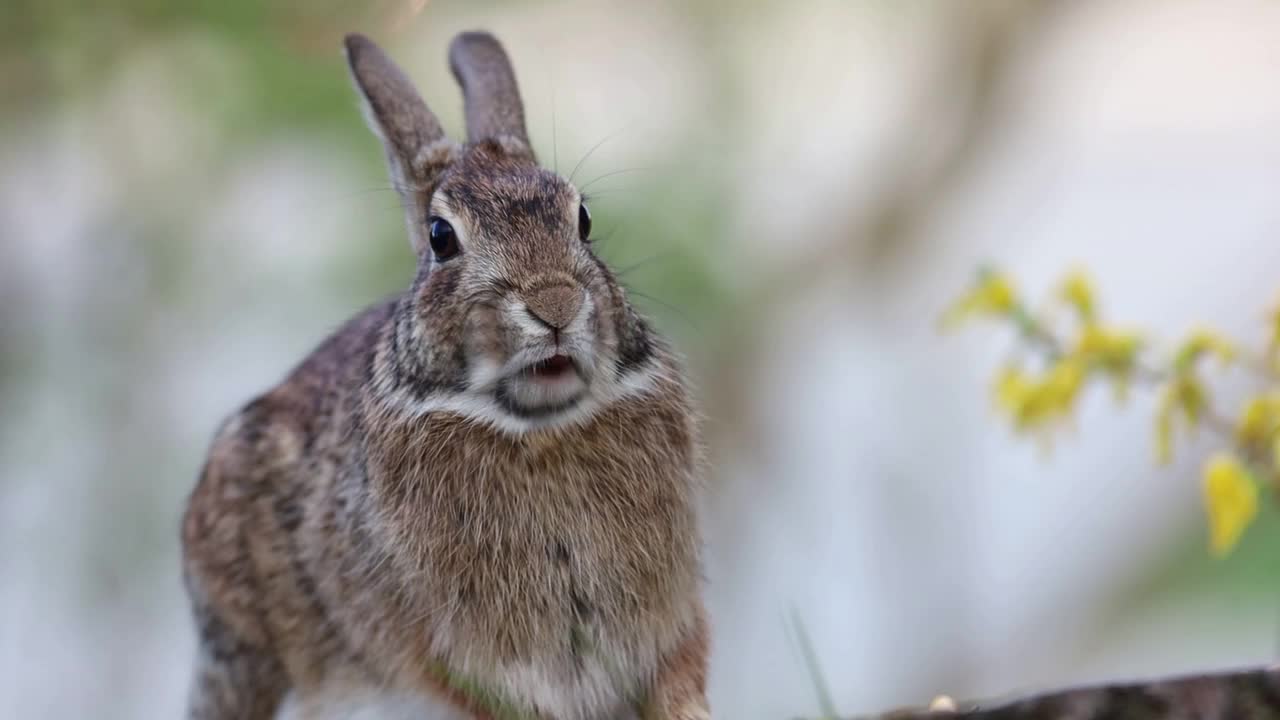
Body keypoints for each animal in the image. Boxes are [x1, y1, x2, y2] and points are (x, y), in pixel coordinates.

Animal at [183, 30, 711, 717]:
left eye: (583, 220)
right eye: (441, 237)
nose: (555, 304)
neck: (540, 431)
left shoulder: (671, 624)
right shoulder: (451, 666)